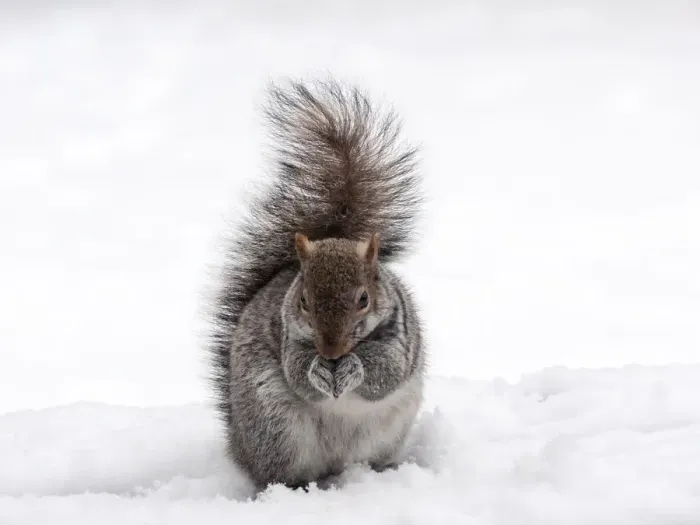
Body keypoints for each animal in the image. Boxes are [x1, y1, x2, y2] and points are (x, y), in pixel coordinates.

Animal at [207, 78, 426, 491]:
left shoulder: (401, 338)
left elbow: (385, 372)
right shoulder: (288, 335)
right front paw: (317, 371)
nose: (331, 350)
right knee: (281, 471)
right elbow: (297, 371)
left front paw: (354, 366)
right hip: (276, 427)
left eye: (363, 299)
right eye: (304, 300)